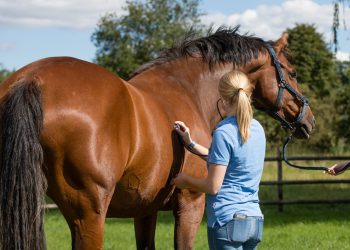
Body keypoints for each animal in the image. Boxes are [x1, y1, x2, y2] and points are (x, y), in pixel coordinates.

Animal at [0, 27, 316, 250]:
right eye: (293, 72)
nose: (308, 121)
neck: (189, 90)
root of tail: (31, 80)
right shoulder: (190, 204)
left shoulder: (144, 209)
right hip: (89, 215)